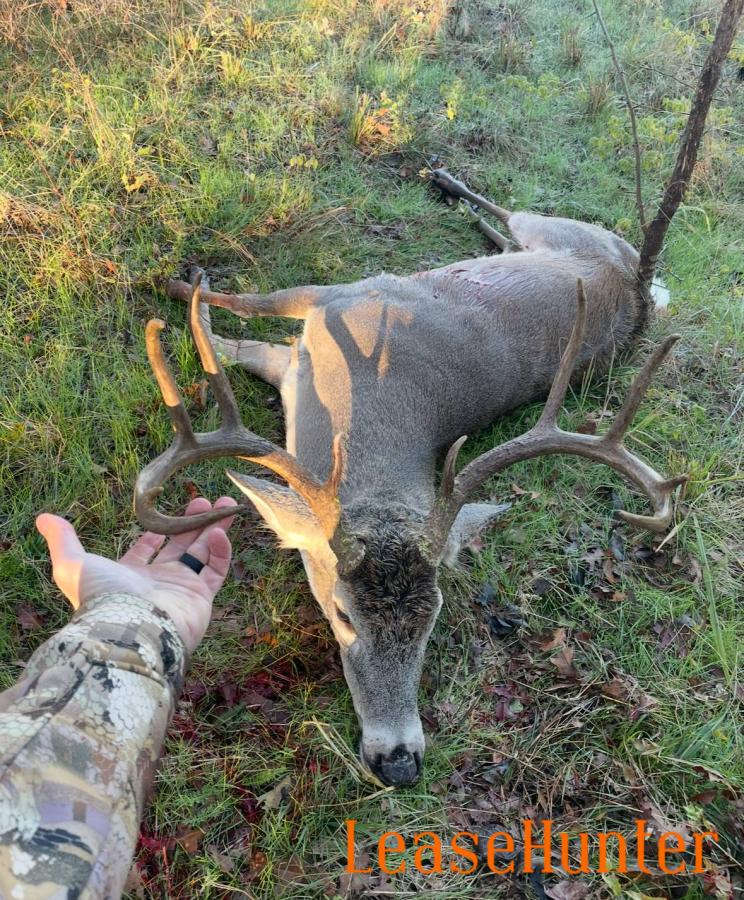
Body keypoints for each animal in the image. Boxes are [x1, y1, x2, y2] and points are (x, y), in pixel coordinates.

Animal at [132, 0, 743, 784]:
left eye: (434, 616)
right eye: (341, 612)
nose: (398, 760)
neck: (360, 405)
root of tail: (641, 291)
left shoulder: (324, 316)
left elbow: (239, 333)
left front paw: (187, 289)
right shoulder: (334, 297)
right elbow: (244, 304)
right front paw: (181, 281)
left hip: (560, 233)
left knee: (509, 218)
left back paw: (446, 181)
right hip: (545, 232)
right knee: (506, 218)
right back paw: (445, 181)